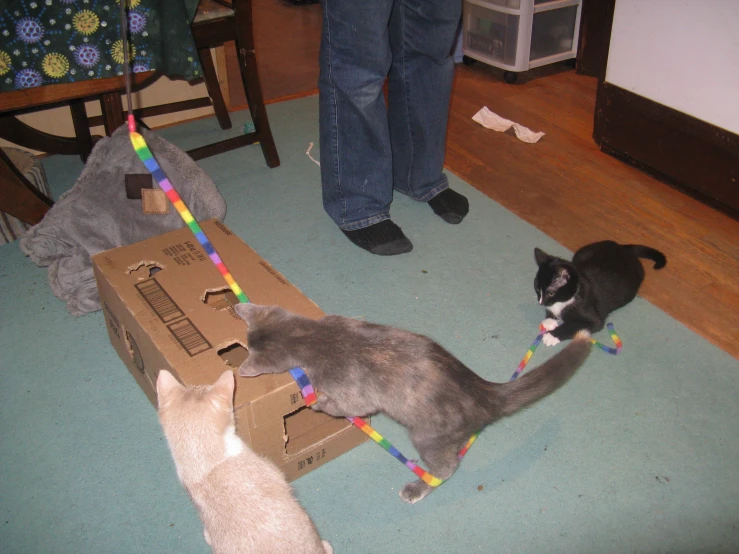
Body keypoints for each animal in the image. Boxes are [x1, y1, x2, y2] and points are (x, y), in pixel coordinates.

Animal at [234, 304, 592, 502]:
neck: (315, 337)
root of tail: (485, 391)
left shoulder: (354, 392)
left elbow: (349, 406)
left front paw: (319, 403)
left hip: (428, 435)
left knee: (447, 467)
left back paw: (419, 487)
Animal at [536, 238, 668, 342]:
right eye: (537, 289)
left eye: (551, 293)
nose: (541, 302)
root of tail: (624, 248)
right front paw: (549, 320)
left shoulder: (592, 316)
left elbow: (574, 326)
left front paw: (551, 336)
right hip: (583, 252)